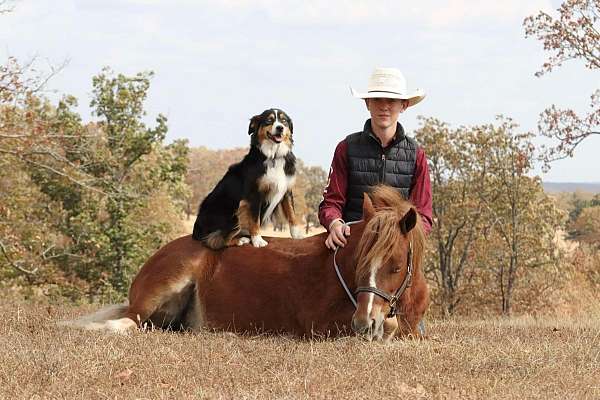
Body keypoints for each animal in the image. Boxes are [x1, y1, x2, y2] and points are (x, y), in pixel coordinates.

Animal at [64, 186, 426, 340]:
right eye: (361, 264)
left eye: (395, 267)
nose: (364, 324)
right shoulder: (319, 326)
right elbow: (391, 327)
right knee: (128, 322)